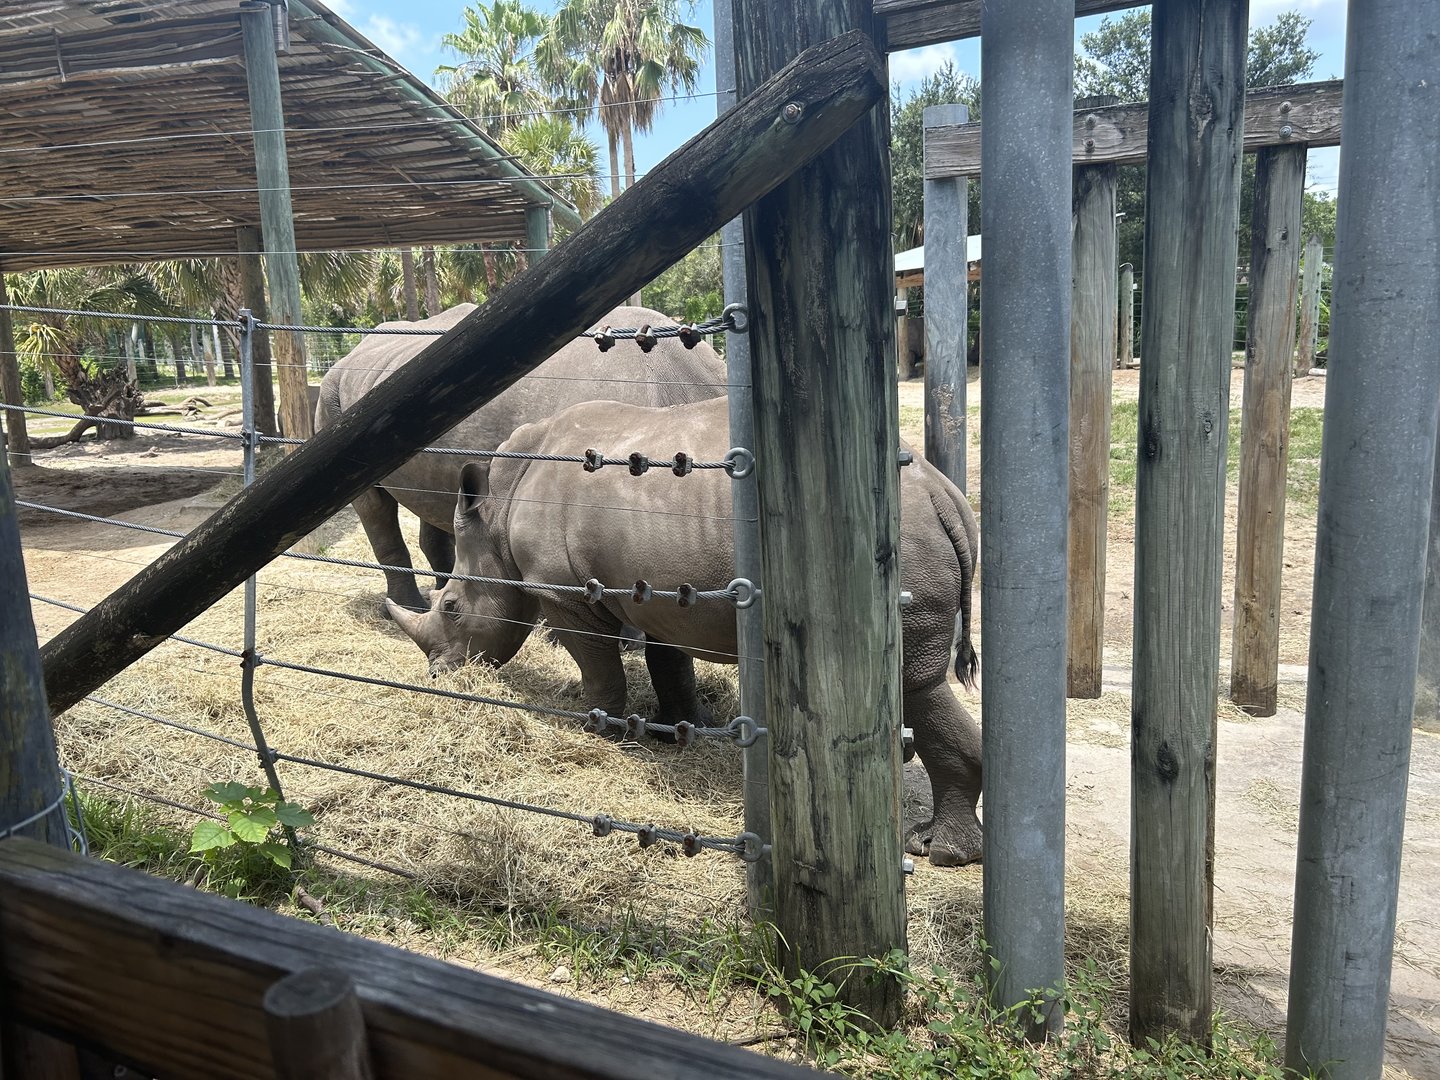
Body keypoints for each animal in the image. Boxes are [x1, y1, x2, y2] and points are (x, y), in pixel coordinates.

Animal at [315, 304, 728, 611]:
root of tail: (355, 351)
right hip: (333, 395)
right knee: (371, 500)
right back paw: (410, 606)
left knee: (435, 495)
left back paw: (439, 593)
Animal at [387, 395, 984, 866]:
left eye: (452, 608)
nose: (438, 673)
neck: (499, 510)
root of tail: (943, 495)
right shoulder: (660, 592)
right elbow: (667, 660)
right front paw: (674, 728)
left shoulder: (564, 592)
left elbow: (596, 660)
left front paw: (595, 727)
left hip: (899, 545)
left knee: (913, 683)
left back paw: (935, 851)